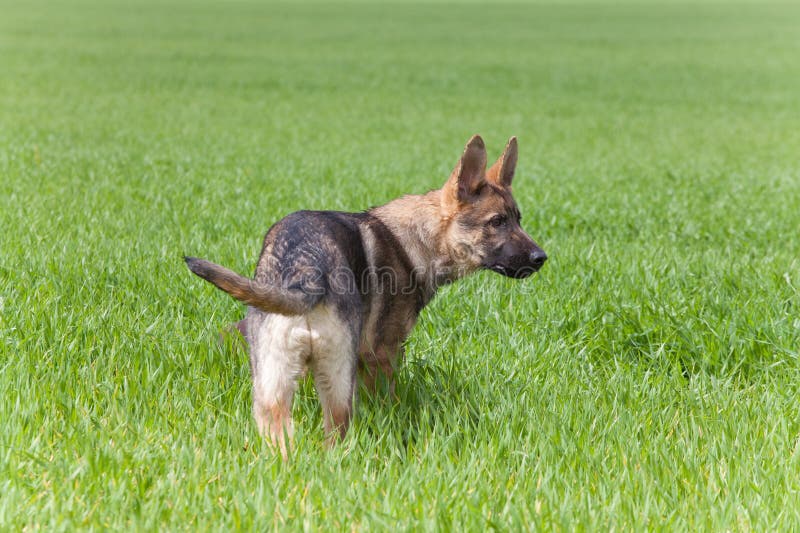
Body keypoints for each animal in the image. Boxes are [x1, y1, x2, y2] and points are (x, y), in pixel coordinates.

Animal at [185, 135, 548, 456]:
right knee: (334, 436)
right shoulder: (383, 353)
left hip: (270, 388)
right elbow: (389, 399)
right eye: (497, 222)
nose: (541, 258)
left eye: (518, 219)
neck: (420, 238)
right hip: (337, 384)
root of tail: (306, 269)